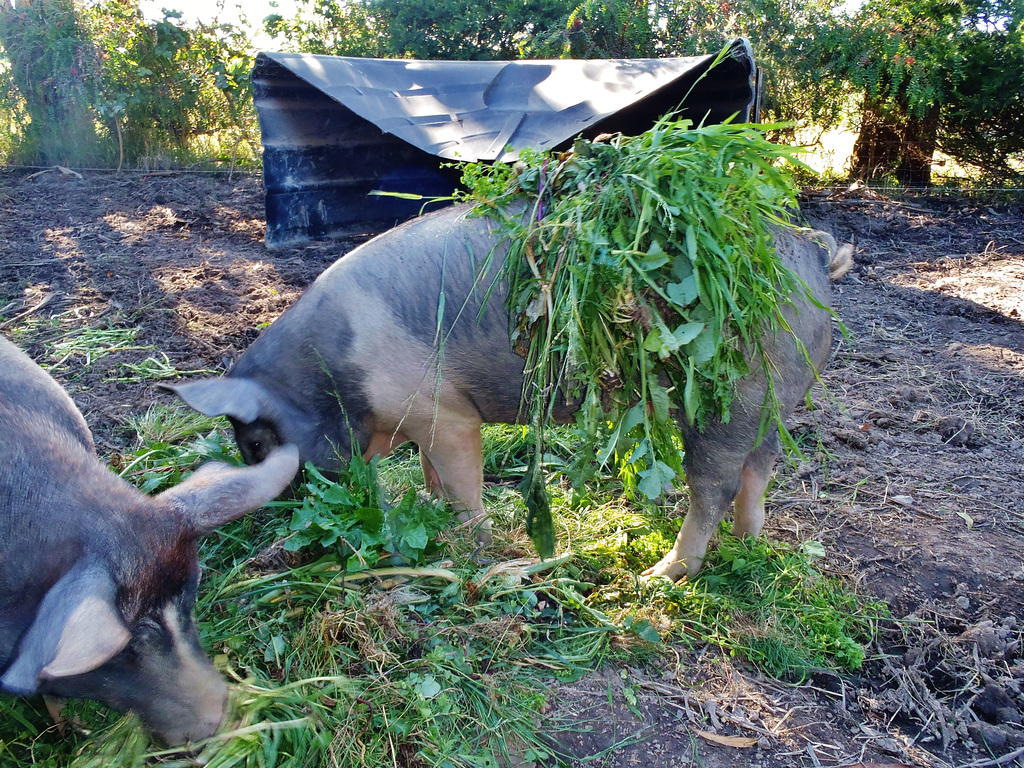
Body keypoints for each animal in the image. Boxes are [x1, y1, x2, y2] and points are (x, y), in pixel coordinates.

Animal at [169, 201, 856, 581]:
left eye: (259, 443)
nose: (285, 523)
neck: (333, 377)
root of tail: (815, 260)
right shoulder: (422, 422)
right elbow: (433, 476)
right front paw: (434, 512)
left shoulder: (447, 413)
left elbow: (464, 482)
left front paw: (474, 545)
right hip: (771, 402)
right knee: (760, 469)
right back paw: (748, 542)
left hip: (726, 399)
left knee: (712, 485)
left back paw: (657, 577)